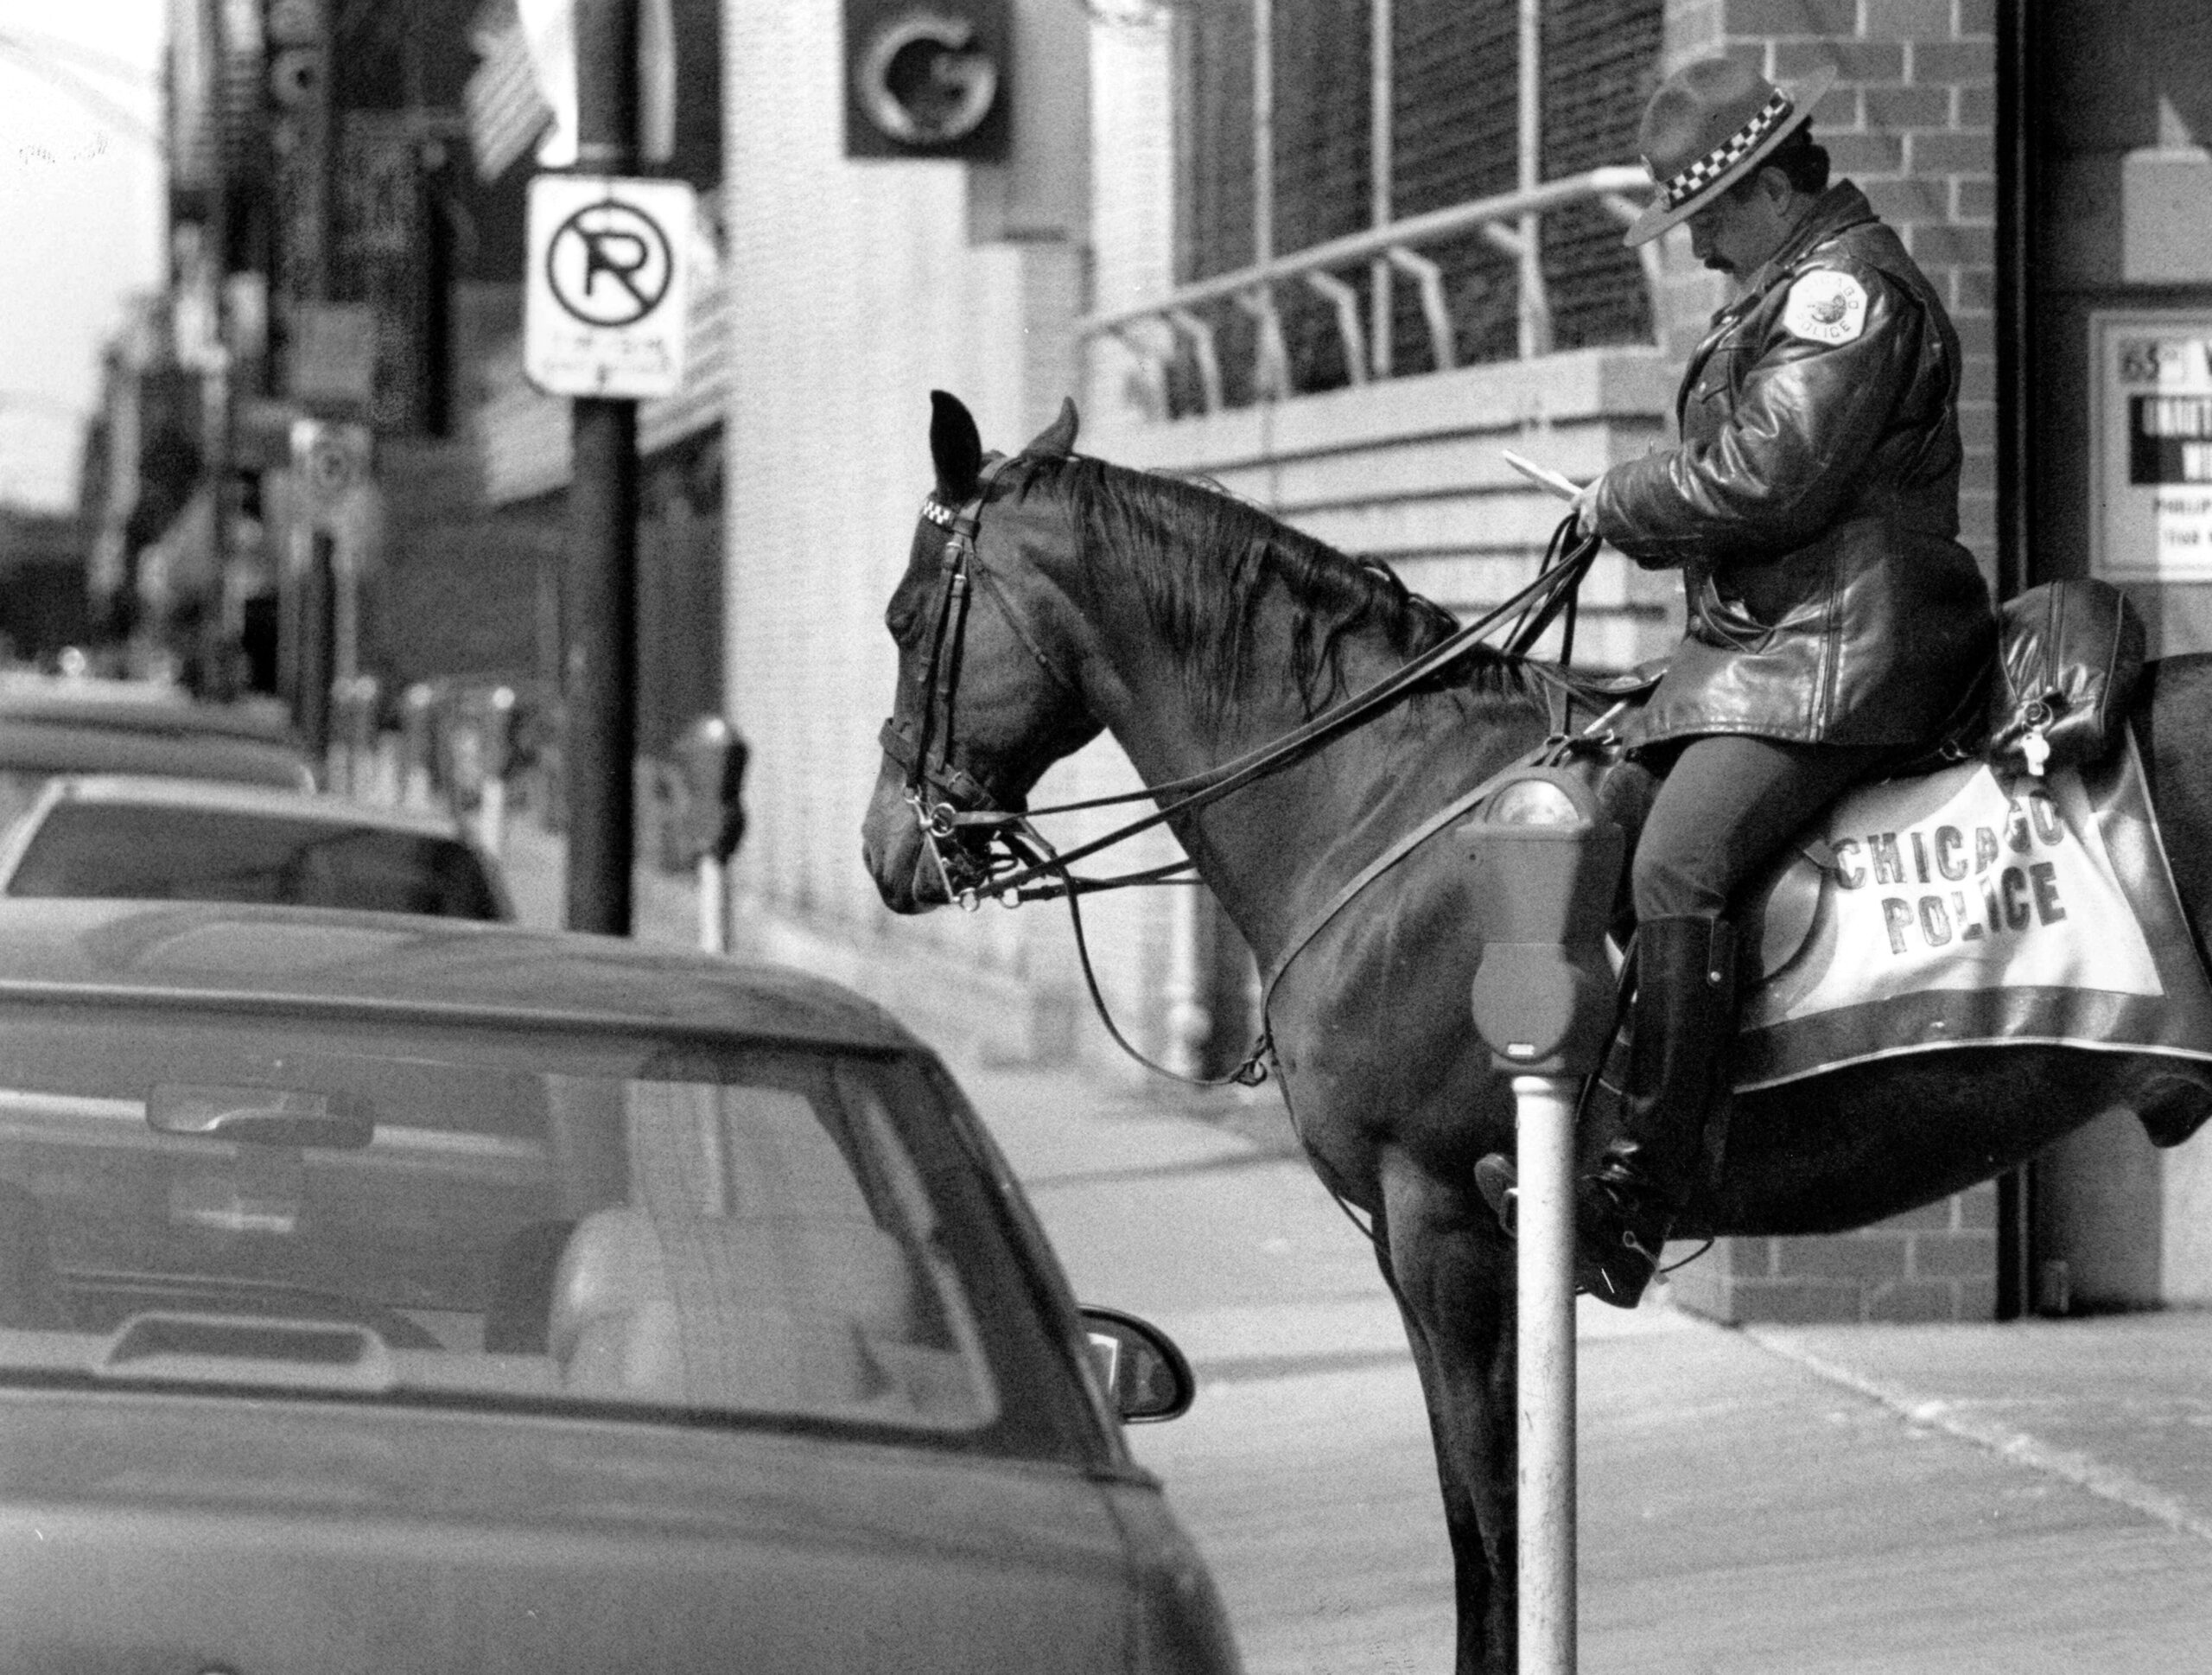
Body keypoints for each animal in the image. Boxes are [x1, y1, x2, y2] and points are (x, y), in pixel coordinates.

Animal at [858, 392, 2212, 1672]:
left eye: (908, 618)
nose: (887, 849)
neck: (1377, 800)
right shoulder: (1430, 1239)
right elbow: (1477, 1514)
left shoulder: (1441, 1221)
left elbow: (1494, 1520)